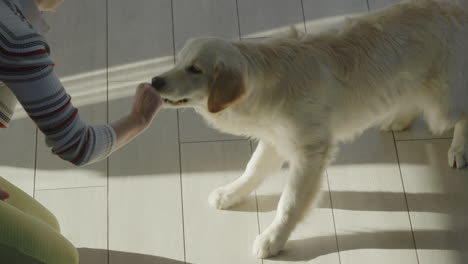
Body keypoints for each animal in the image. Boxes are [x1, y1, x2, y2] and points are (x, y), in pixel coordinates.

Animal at [151, 0, 468, 258]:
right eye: (178, 61)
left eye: (195, 69)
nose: (154, 81)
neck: (266, 80)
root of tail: (454, 8)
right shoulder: (274, 139)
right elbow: (253, 169)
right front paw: (231, 193)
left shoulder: (310, 151)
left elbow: (289, 202)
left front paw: (272, 239)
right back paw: (399, 120)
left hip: (442, 105)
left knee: (462, 113)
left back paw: (458, 150)